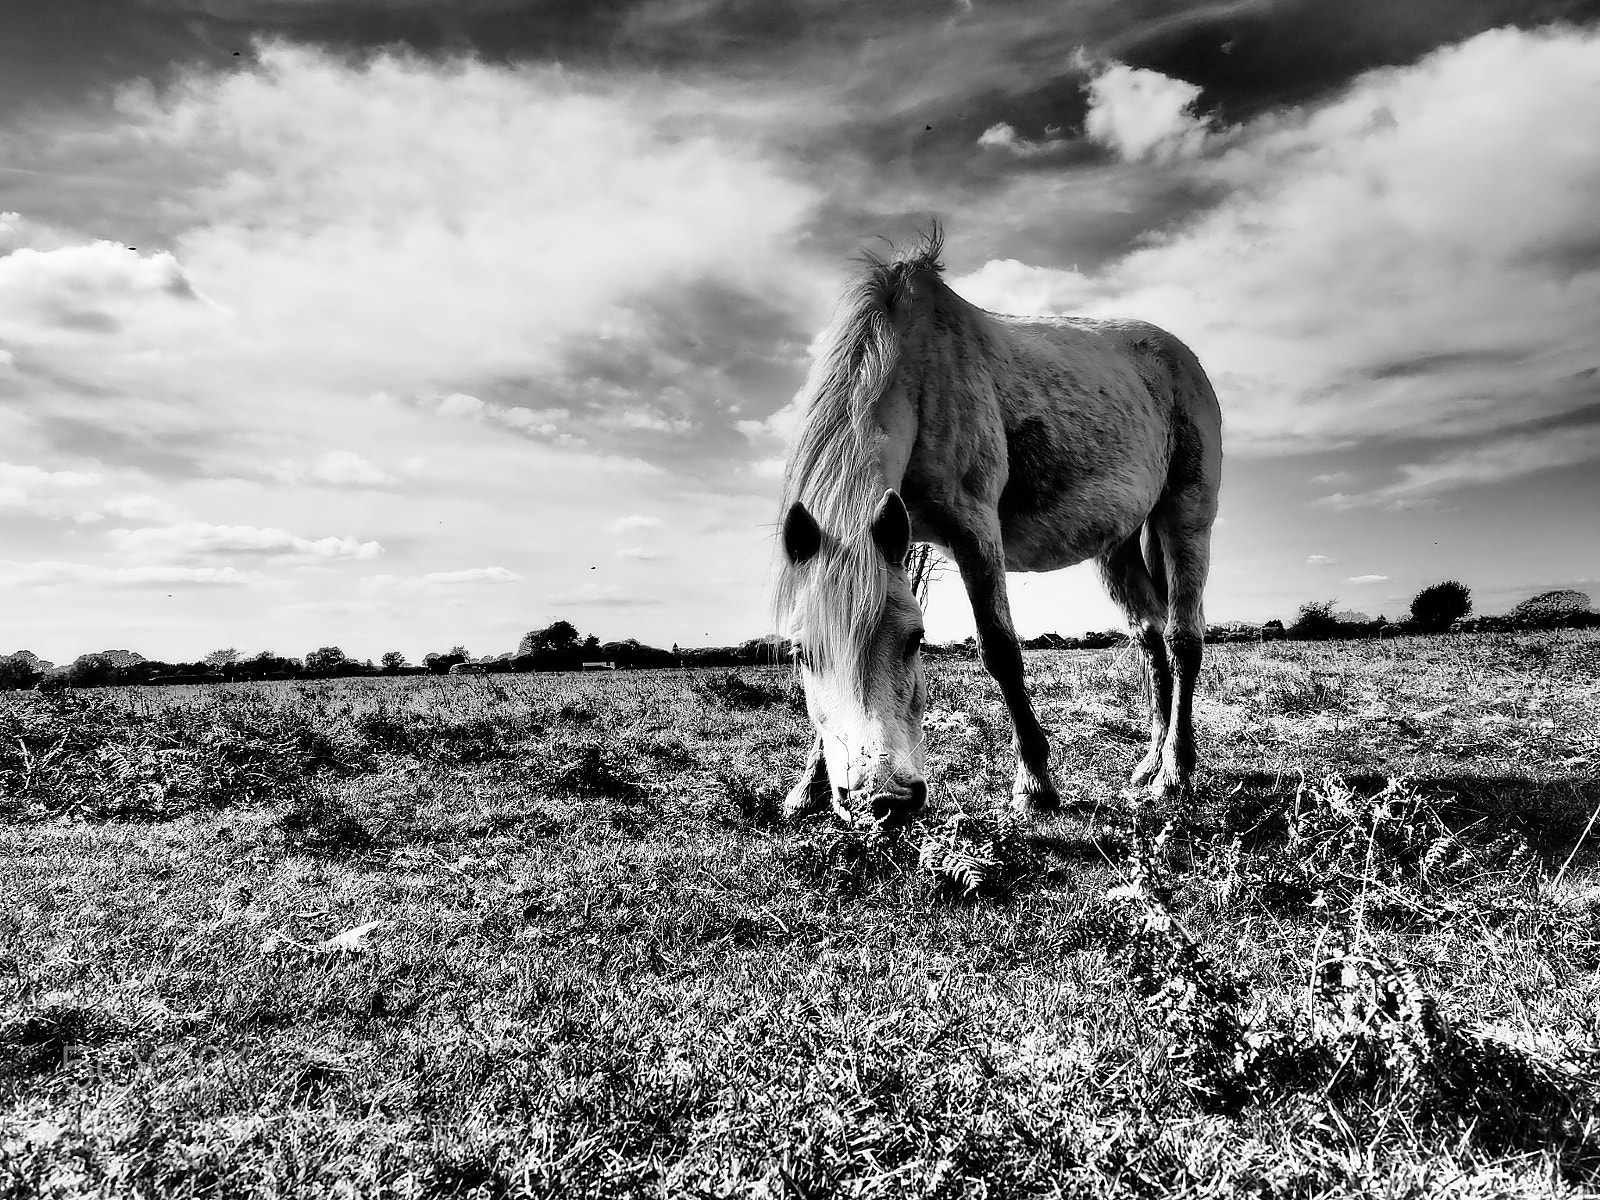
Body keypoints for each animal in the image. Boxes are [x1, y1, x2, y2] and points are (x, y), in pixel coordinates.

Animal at [773, 229, 1222, 825]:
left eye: (916, 640)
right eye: (800, 653)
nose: (883, 801)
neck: (919, 376)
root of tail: (1179, 355)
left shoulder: (974, 531)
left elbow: (1000, 651)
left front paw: (1035, 784)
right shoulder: (895, 539)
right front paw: (808, 789)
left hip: (1186, 515)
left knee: (1182, 639)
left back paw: (1174, 772)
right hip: (1118, 545)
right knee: (1150, 638)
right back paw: (1149, 762)